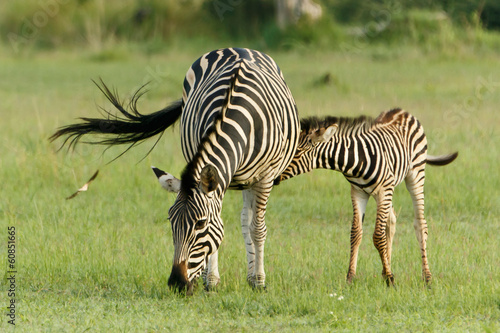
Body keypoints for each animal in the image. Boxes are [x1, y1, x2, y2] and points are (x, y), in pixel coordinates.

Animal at [51, 48, 298, 292]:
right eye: (170, 221)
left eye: (200, 224)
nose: (177, 283)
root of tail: (237, 48)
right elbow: (220, 225)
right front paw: (212, 281)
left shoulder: (265, 177)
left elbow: (256, 228)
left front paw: (259, 281)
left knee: (248, 221)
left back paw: (252, 277)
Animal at [276, 107, 458, 284]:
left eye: (297, 153)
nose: (275, 178)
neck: (354, 161)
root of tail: (402, 110)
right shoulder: (358, 192)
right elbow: (356, 233)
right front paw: (351, 277)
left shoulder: (383, 190)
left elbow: (377, 236)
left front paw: (390, 280)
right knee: (391, 221)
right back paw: (386, 269)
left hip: (414, 175)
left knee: (420, 224)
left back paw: (426, 277)